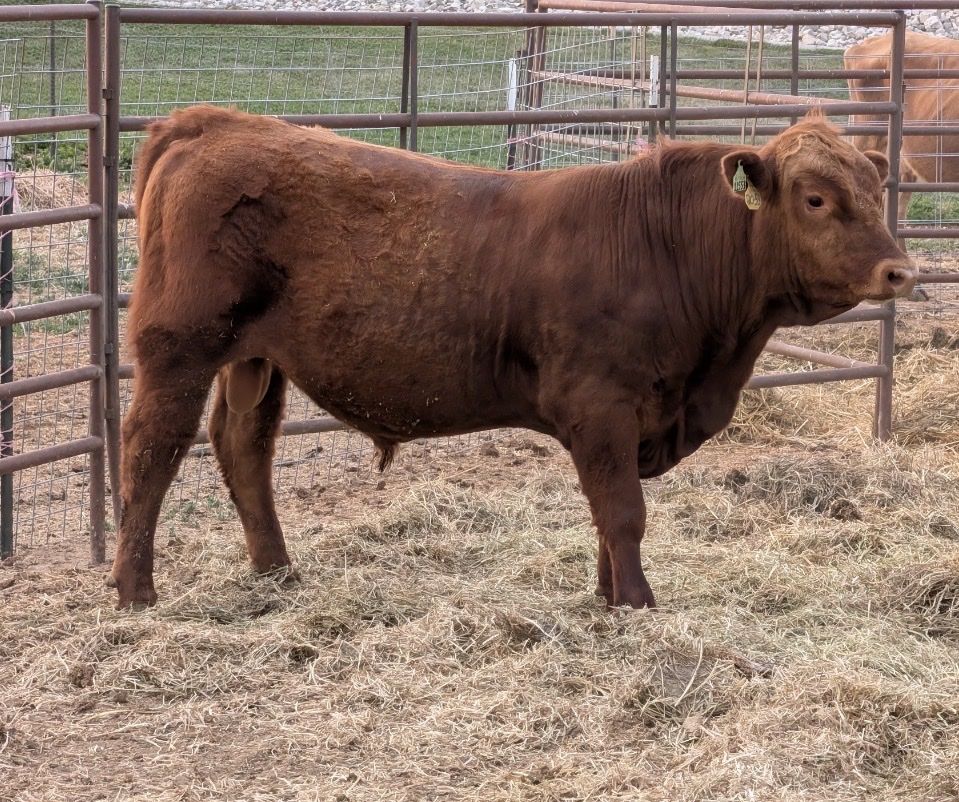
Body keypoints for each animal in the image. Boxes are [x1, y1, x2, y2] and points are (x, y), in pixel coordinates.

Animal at [110, 105, 915, 611]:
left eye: (875, 187)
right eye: (815, 198)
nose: (899, 271)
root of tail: (212, 122)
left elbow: (605, 514)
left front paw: (608, 594)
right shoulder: (600, 404)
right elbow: (623, 511)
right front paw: (637, 603)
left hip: (255, 359)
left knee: (244, 446)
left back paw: (276, 573)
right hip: (179, 345)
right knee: (151, 449)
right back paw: (135, 590)